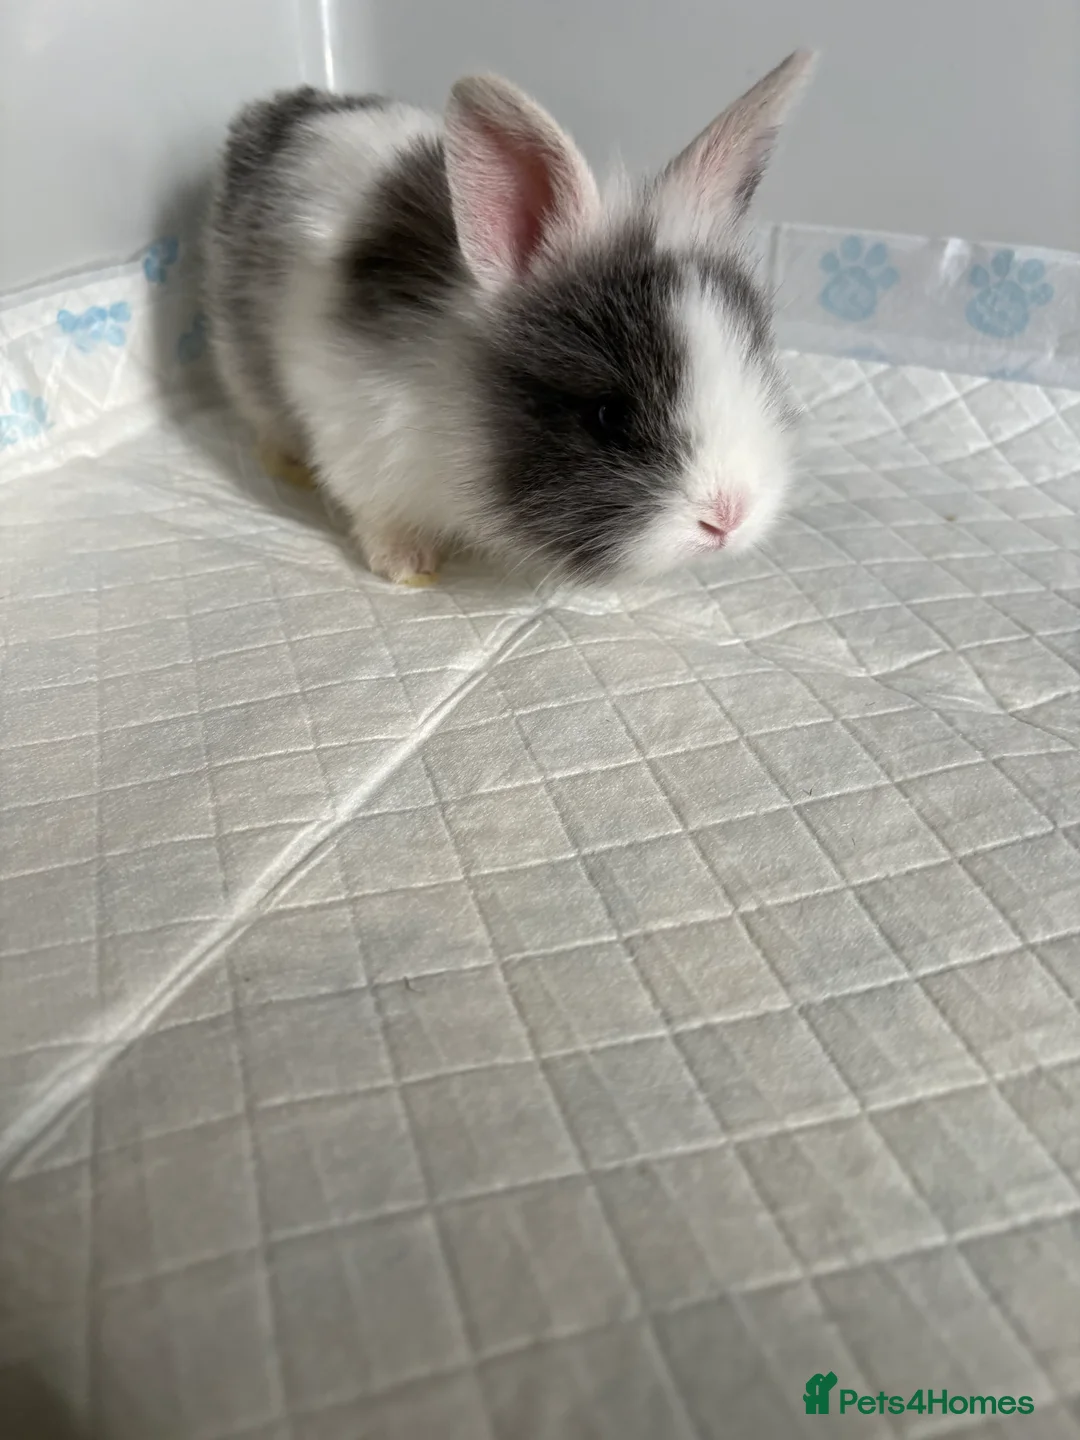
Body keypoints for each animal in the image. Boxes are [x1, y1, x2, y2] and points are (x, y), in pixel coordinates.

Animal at [204, 51, 815, 586]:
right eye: (608, 416)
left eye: (762, 374)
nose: (729, 517)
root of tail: (280, 107)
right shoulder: (358, 438)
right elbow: (379, 516)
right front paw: (408, 567)